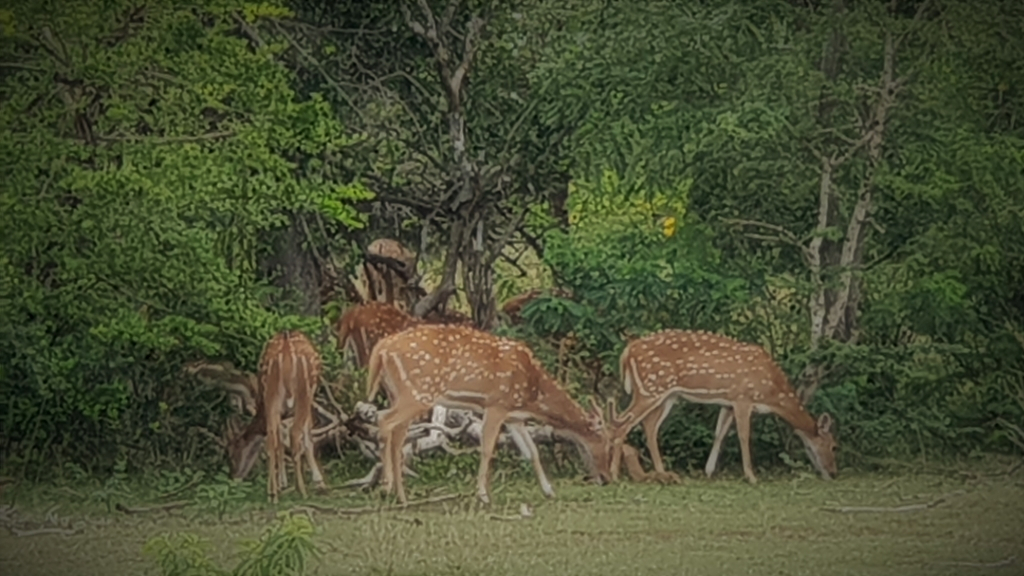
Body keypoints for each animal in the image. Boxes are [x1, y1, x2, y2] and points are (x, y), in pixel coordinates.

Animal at [230, 330, 329, 500]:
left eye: (233, 452)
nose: (234, 476)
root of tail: (286, 350)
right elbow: (305, 437)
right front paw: (319, 481)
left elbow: (280, 439)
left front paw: (282, 482)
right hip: (303, 393)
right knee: (294, 433)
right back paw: (301, 490)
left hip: (272, 394)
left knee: (272, 437)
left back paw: (273, 493)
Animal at [366, 323, 610, 502]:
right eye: (605, 441)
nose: (606, 478)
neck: (532, 394)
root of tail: (381, 349)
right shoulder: (496, 404)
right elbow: (487, 448)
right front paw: (483, 495)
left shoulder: (514, 416)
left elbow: (532, 451)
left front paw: (549, 490)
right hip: (418, 392)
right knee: (385, 421)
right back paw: (389, 488)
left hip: (398, 392)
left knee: (395, 431)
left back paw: (398, 492)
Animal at [602, 330, 835, 481]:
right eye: (834, 446)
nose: (833, 473)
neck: (771, 392)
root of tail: (628, 350)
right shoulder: (743, 397)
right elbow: (743, 435)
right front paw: (751, 476)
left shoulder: (728, 402)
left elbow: (719, 433)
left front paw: (709, 470)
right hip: (650, 388)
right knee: (622, 422)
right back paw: (614, 474)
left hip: (667, 395)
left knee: (649, 426)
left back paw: (663, 473)